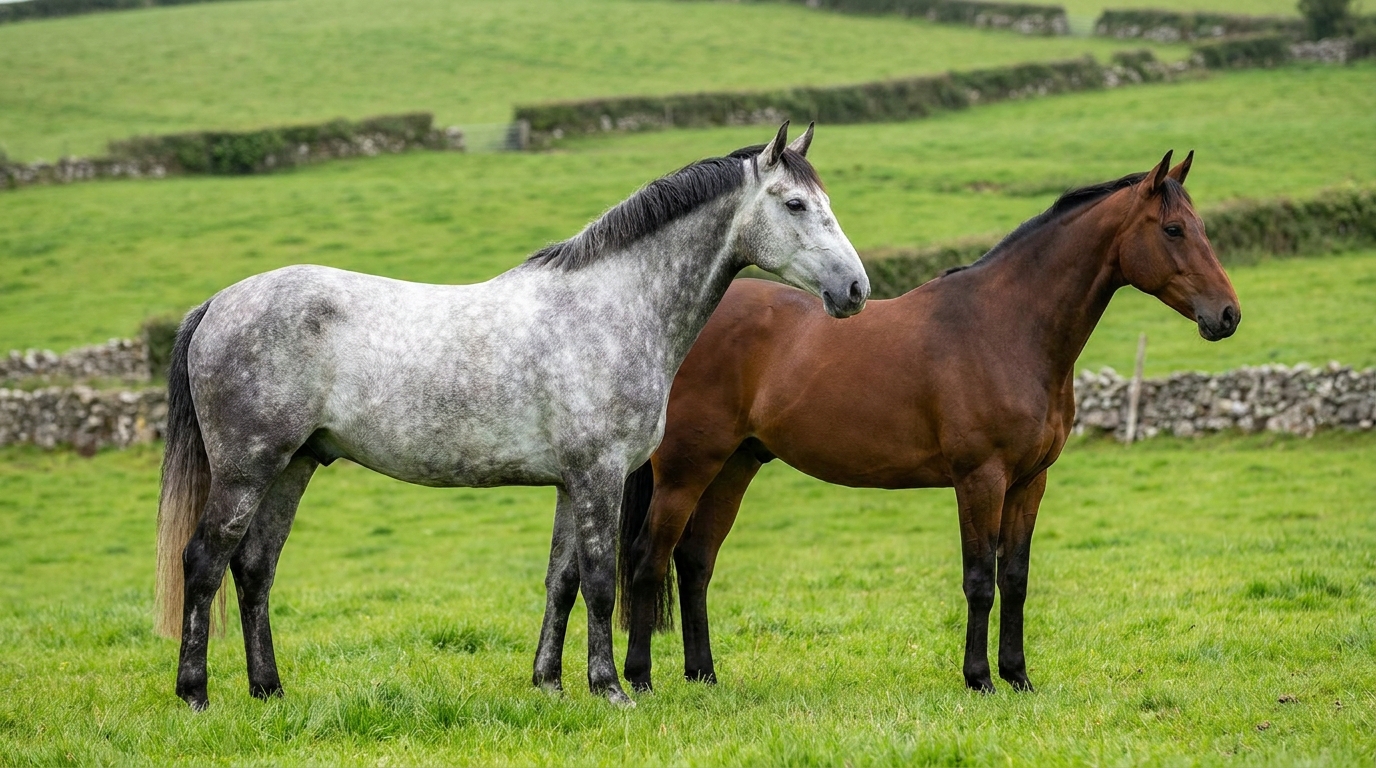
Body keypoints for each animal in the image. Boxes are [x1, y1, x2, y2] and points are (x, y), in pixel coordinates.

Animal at [154, 122, 871, 710]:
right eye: (796, 204)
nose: (856, 289)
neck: (608, 309)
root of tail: (217, 304)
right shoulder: (599, 476)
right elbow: (601, 581)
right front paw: (611, 689)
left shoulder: (570, 483)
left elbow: (562, 580)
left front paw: (549, 684)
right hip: (247, 470)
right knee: (205, 562)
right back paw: (196, 695)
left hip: (293, 466)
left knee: (254, 570)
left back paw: (268, 691)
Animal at [617, 151, 1241, 694]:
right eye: (1174, 230)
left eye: (1200, 227)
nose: (1228, 315)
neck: (1006, 328)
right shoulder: (980, 479)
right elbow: (979, 580)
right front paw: (980, 679)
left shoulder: (1029, 481)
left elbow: (1015, 579)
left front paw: (1018, 676)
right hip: (686, 469)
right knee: (649, 559)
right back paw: (640, 678)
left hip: (734, 465)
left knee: (695, 561)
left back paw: (703, 675)